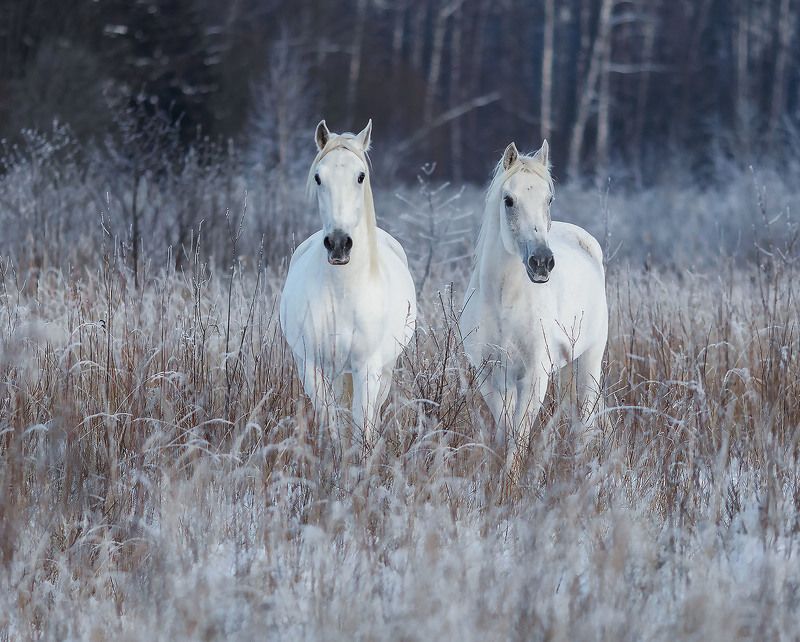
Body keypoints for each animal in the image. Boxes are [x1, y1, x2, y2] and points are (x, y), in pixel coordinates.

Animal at [279, 120, 417, 449]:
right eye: (318, 177)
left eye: (360, 176)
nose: (339, 244)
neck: (342, 293)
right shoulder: (314, 367)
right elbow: (332, 425)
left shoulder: (367, 368)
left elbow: (361, 427)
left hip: (383, 371)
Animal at [459, 140, 608, 482]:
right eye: (509, 200)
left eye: (548, 198)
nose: (541, 262)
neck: (504, 299)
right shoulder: (491, 377)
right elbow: (505, 431)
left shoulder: (533, 376)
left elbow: (520, 436)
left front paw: (511, 484)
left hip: (590, 361)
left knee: (585, 420)